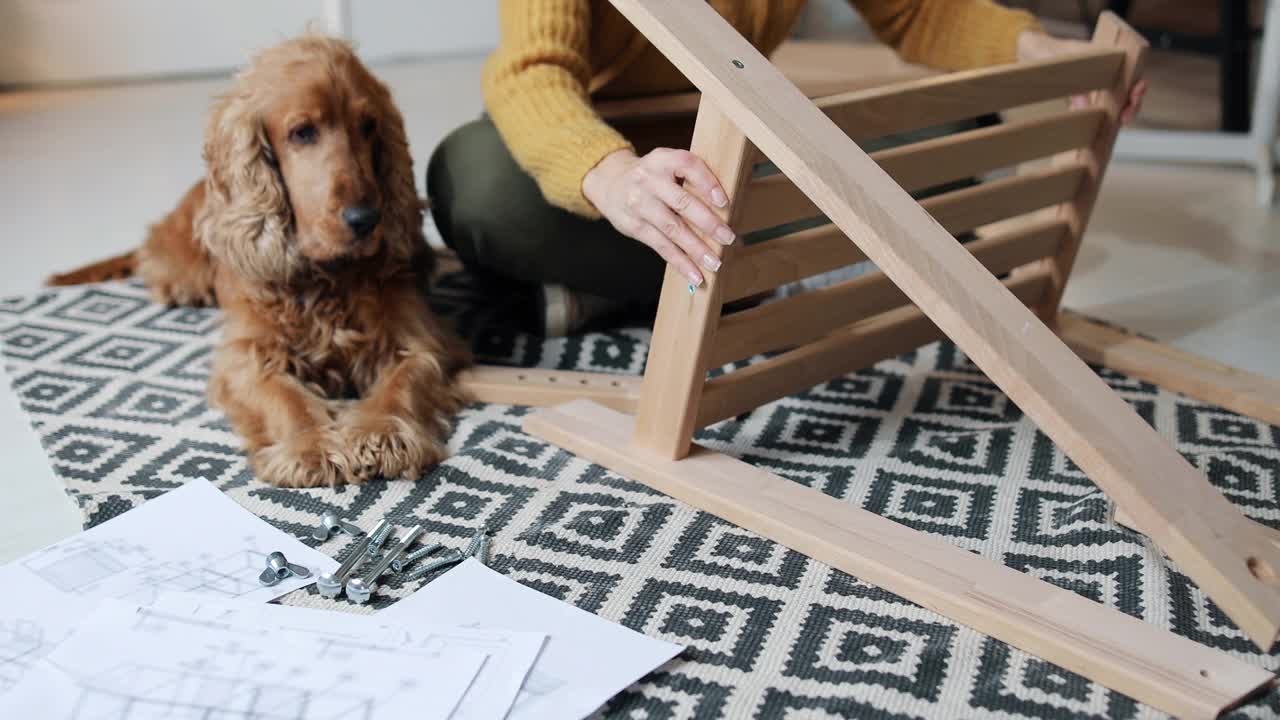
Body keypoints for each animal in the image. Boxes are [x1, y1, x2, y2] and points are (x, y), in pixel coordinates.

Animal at [48, 32, 476, 481]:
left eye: (369, 125)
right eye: (303, 132)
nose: (365, 219)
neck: (325, 277)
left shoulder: (421, 338)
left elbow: (403, 382)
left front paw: (383, 433)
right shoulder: (247, 355)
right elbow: (283, 398)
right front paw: (312, 446)